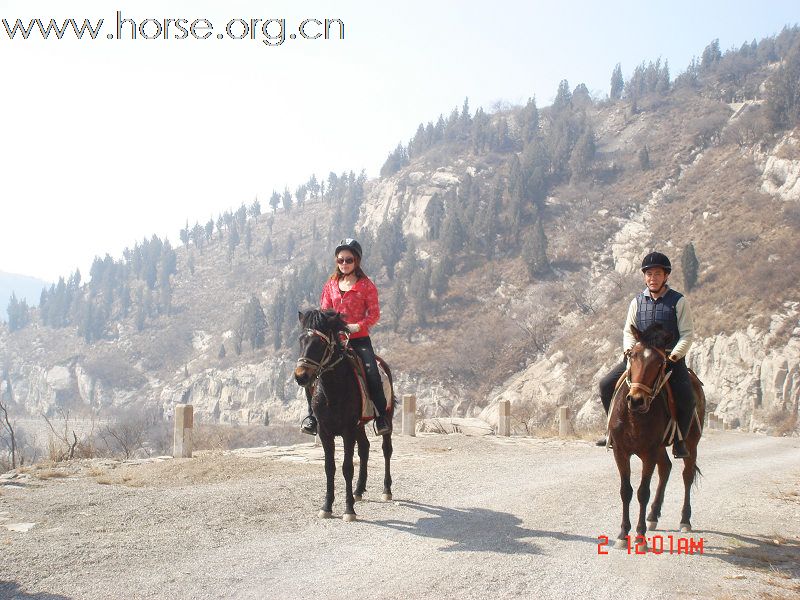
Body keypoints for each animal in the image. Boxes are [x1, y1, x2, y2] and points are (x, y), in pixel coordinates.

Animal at [292, 310, 396, 520]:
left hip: (386, 417)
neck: (333, 389)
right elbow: (329, 467)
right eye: (301, 340)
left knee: (386, 450)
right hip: (359, 425)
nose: (300, 376)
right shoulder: (325, 432)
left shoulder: (348, 431)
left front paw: (349, 510)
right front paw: (326, 506)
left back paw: (386, 490)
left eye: (319, 343)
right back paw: (358, 490)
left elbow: (347, 468)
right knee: (364, 448)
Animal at [608, 324, 704, 548]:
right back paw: (653, 515)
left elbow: (643, 492)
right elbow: (626, 491)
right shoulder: (621, 452)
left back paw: (684, 520)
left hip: (691, 444)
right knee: (666, 468)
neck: (634, 416)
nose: (636, 400)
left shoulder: (648, 453)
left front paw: (640, 536)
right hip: (660, 448)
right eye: (632, 355)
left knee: (686, 475)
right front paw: (622, 534)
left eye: (660, 363)